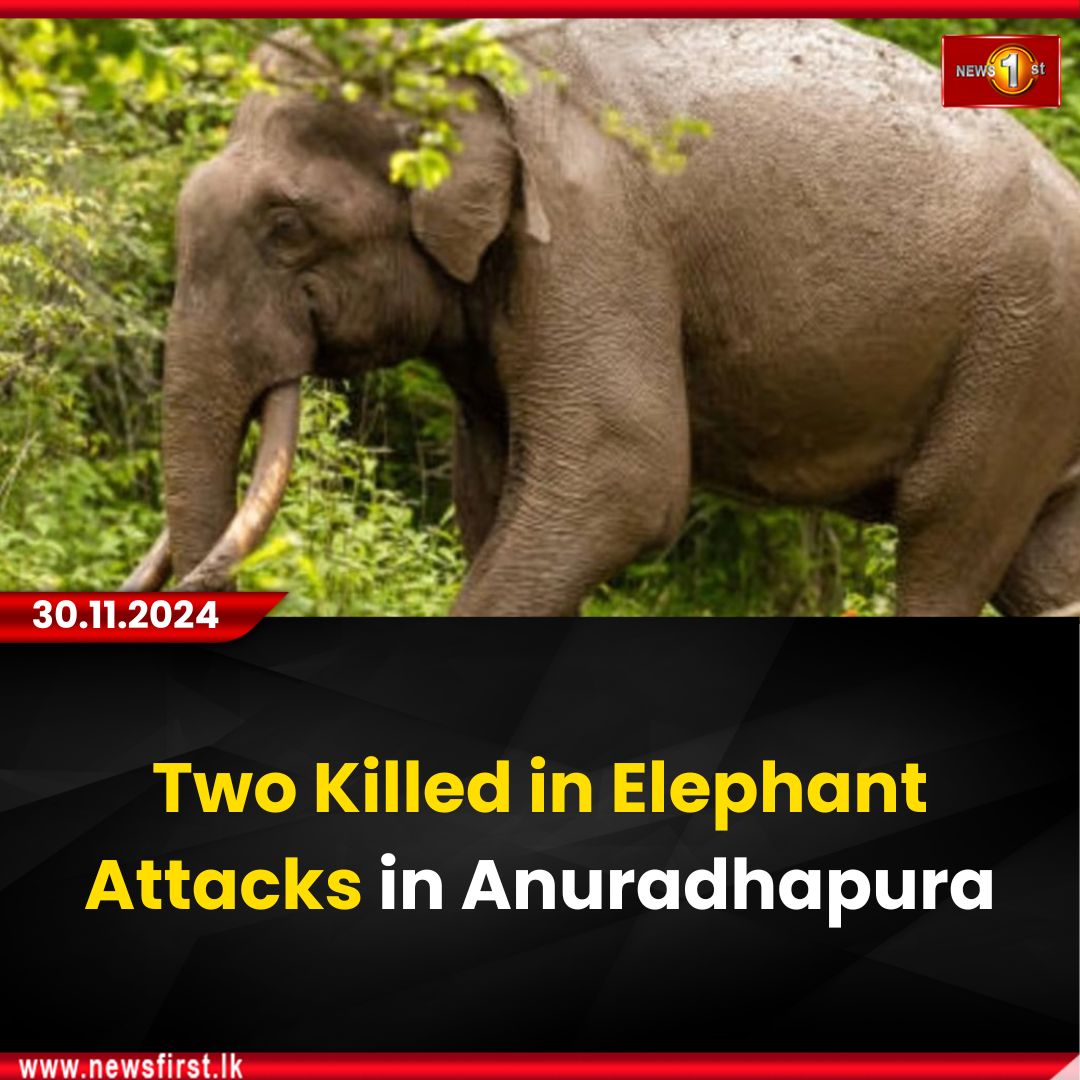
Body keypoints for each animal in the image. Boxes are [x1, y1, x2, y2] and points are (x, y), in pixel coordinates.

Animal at [122, 18, 1080, 616]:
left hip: (1023, 343)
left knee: (944, 522)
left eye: (286, 226)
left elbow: (618, 475)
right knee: (1039, 564)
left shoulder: (596, 229)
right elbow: (493, 491)